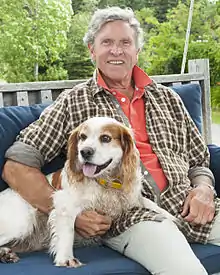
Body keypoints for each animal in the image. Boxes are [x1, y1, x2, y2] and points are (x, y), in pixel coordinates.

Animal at [0, 116, 175, 268]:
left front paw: (173, 218)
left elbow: (151, 205)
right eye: (82, 137)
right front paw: (66, 258)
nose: (85, 151)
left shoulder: (132, 198)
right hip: (23, 222)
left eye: (105, 138)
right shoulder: (65, 205)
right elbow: (68, 232)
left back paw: (5, 254)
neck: (105, 183)